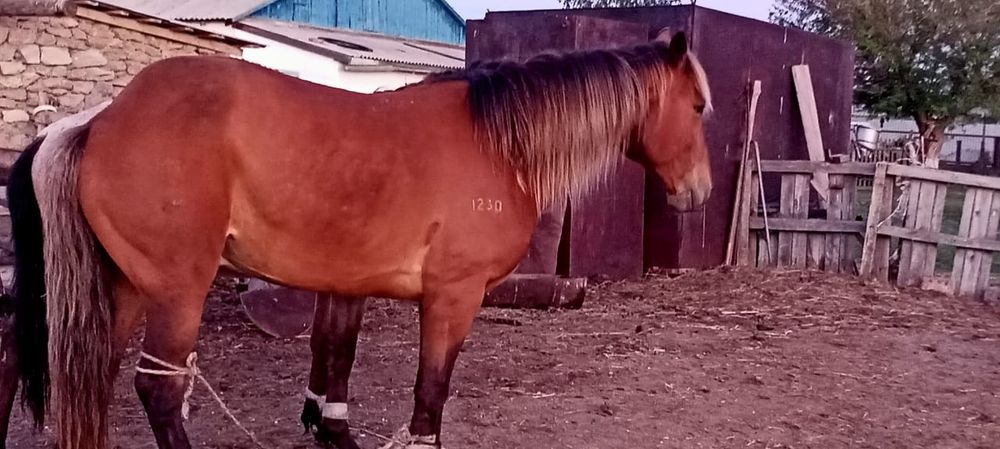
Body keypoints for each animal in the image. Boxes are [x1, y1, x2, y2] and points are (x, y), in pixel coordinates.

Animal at [5, 28, 712, 449]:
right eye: (700, 106)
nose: (698, 192)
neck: (494, 142)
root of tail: (98, 120)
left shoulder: (346, 285)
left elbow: (334, 364)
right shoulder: (453, 298)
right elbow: (430, 390)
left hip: (120, 286)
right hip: (177, 291)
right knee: (158, 388)